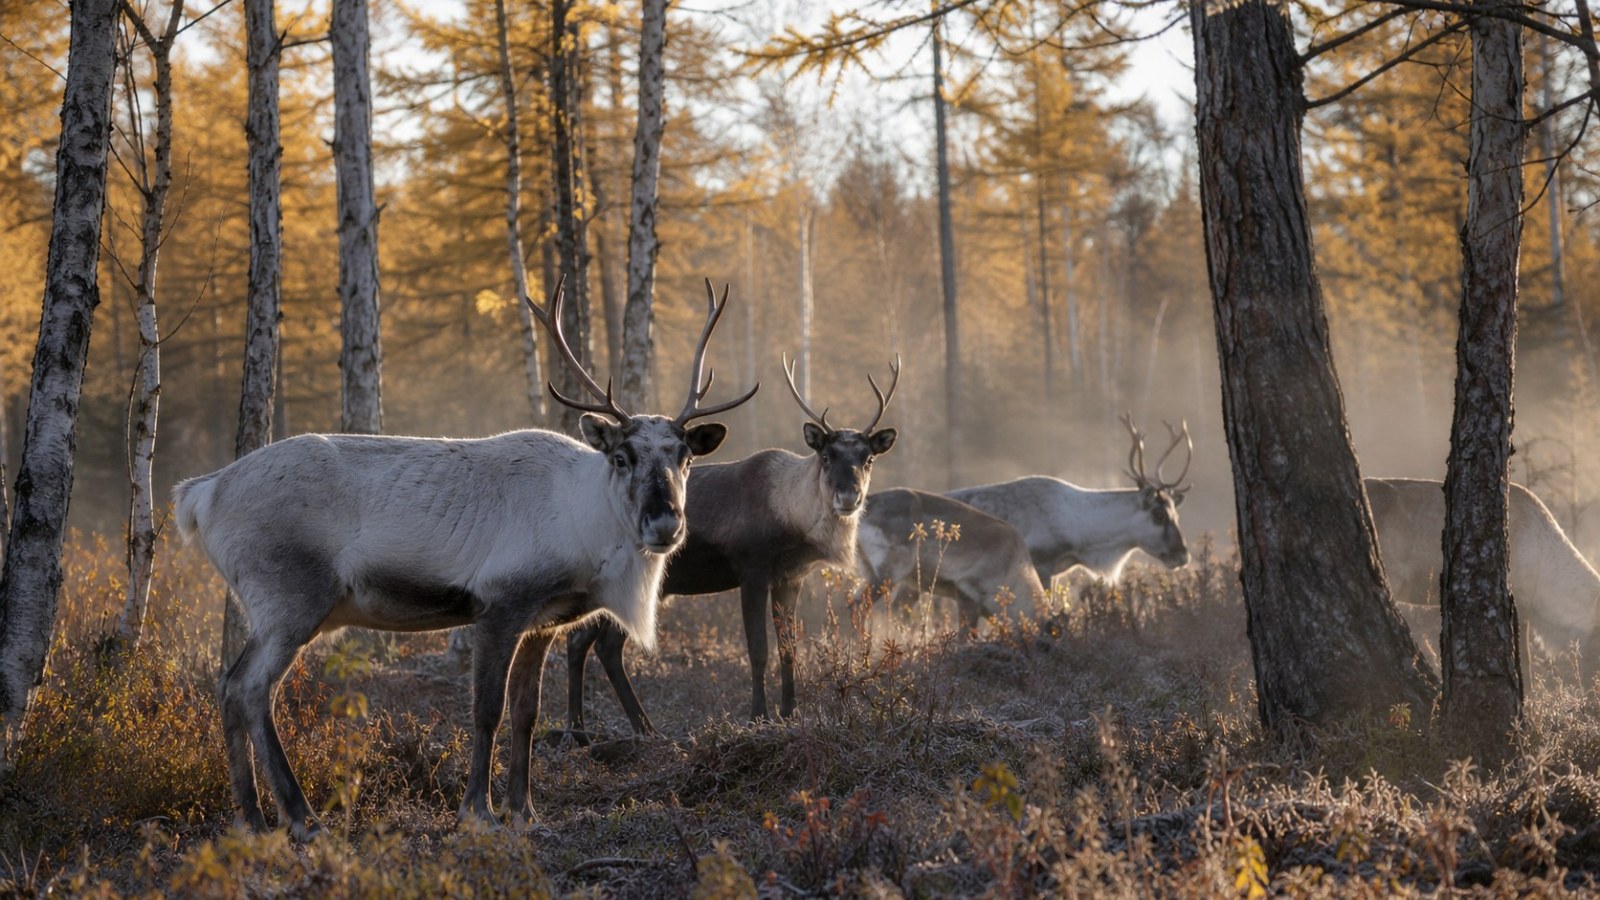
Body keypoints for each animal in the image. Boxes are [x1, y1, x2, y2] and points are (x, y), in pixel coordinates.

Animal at [173, 279, 756, 837]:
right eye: (622, 456)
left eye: (684, 457)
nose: (665, 523)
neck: (583, 522)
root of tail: (203, 492)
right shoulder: (500, 607)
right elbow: (486, 711)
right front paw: (479, 811)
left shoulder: (542, 622)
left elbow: (525, 713)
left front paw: (525, 811)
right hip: (290, 601)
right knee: (249, 688)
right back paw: (301, 818)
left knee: (227, 685)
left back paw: (250, 820)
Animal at [556, 355, 900, 740]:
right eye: (826, 456)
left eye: (869, 459)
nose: (848, 497)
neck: (794, 522)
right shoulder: (752, 571)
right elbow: (759, 649)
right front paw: (758, 716)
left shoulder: (790, 577)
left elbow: (789, 648)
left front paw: (790, 712)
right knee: (602, 644)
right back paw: (633, 728)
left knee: (581, 640)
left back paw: (585, 727)